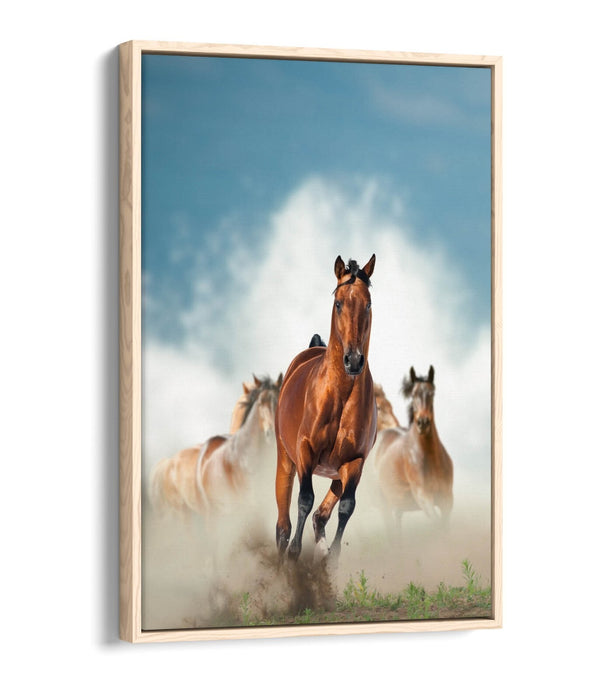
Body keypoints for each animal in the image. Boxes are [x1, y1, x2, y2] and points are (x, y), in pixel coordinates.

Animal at [275, 254, 377, 563]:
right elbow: (304, 499)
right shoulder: (305, 451)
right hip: (286, 459)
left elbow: (346, 507)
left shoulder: (354, 461)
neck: (339, 396)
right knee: (283, 523)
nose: (353, 360)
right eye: (339, 303)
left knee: (323, 514)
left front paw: (330, 558)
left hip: (336, 472)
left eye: (368, 303)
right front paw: (295, 554)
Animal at [373, 365, 453, 531]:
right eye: (413, 394)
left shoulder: (447, 501)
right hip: (385, 507)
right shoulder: (424, 498)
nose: (423, 422)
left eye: (432, 393)